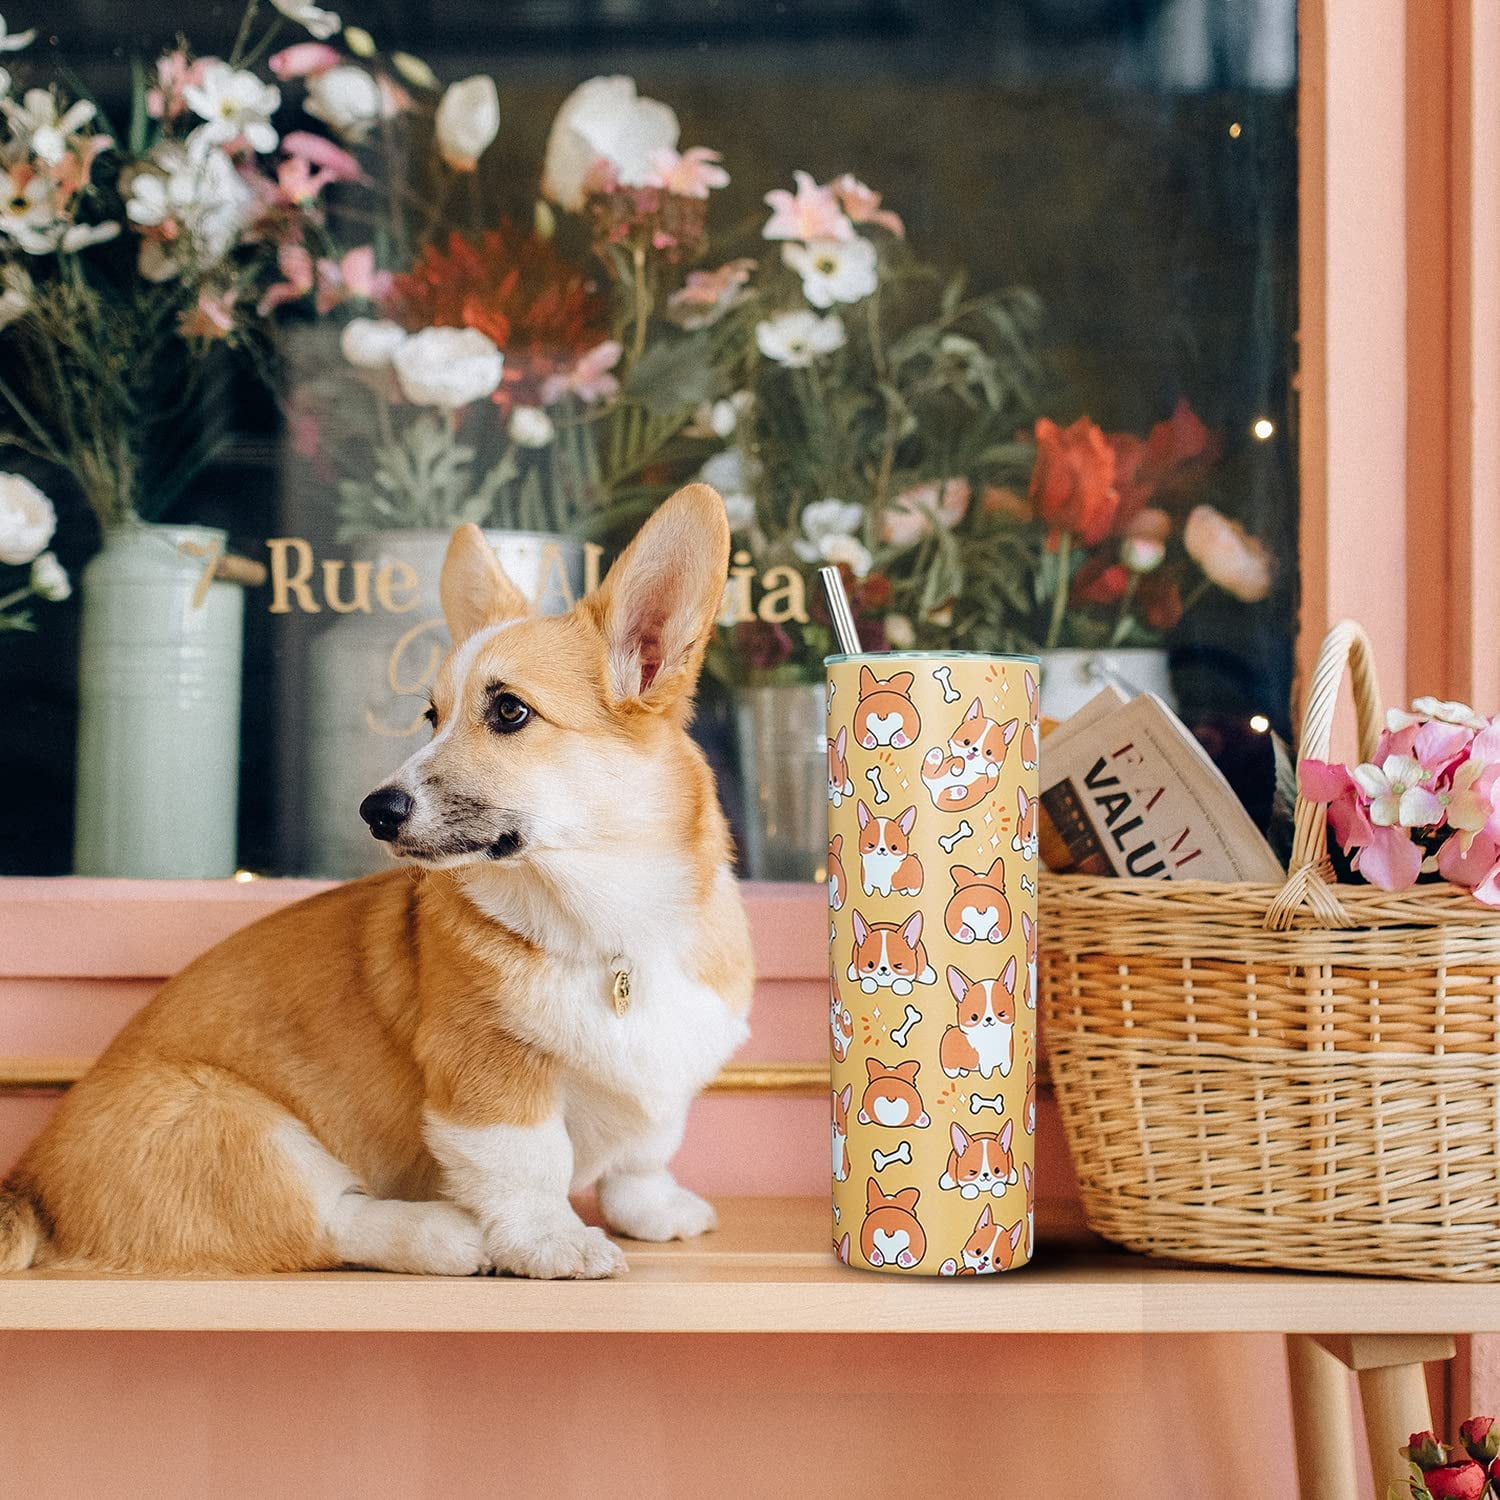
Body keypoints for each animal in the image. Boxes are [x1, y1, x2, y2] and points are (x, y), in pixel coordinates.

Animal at [0, 489, 750, 1278]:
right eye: (432, 715)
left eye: (509, 710)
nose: (374, 810)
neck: (606, 924)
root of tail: (31, 1180)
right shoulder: (489, 1076)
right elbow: (529, 1166)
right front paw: (551, 1242)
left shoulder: (668, 1074)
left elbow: (646, 1153)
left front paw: (655, 1212)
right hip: (245, 1129)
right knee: (327, 1223)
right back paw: (447, 1235)